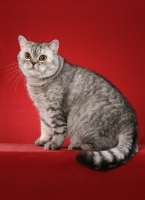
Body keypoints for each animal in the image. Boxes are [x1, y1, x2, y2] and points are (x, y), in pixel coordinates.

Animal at [17, 35, 138, 170]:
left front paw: (54, 144)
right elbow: (45, 128)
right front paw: (43, 140)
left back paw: (77, 145)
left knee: (104, 144)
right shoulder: (43, 111)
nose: (33, 62)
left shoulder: (55, 110)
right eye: (27, 55)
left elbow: (58, 131)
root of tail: (130, 123)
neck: (36, 83)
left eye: (42, 57)